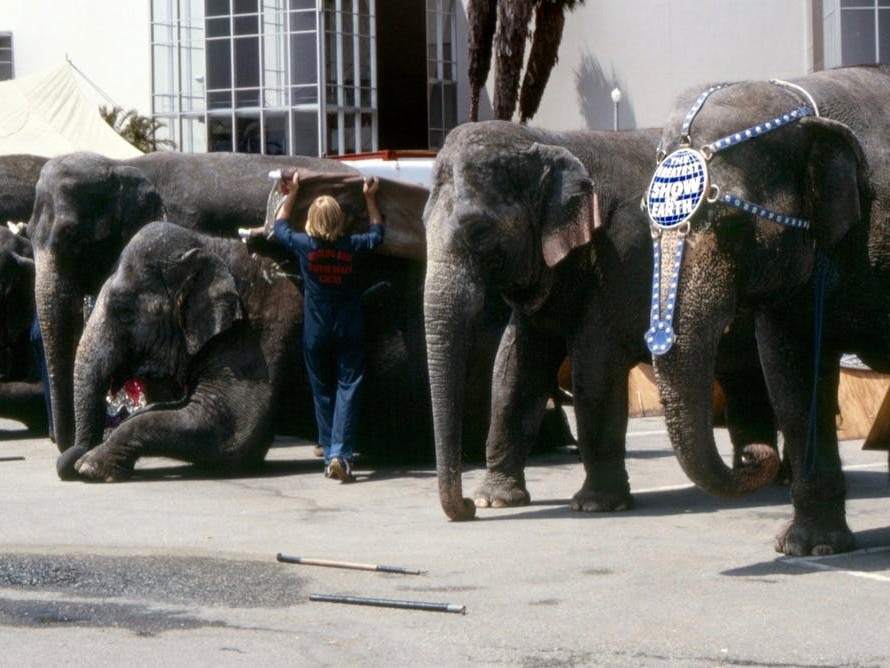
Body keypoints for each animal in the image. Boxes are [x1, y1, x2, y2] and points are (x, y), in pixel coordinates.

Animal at [420, 122, 772, 524]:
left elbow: (595, 367)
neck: (549, 140)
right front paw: (494, 500)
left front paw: (595, 505)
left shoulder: (624, 255)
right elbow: (514, 372)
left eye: (478, 230)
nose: (463, 509)